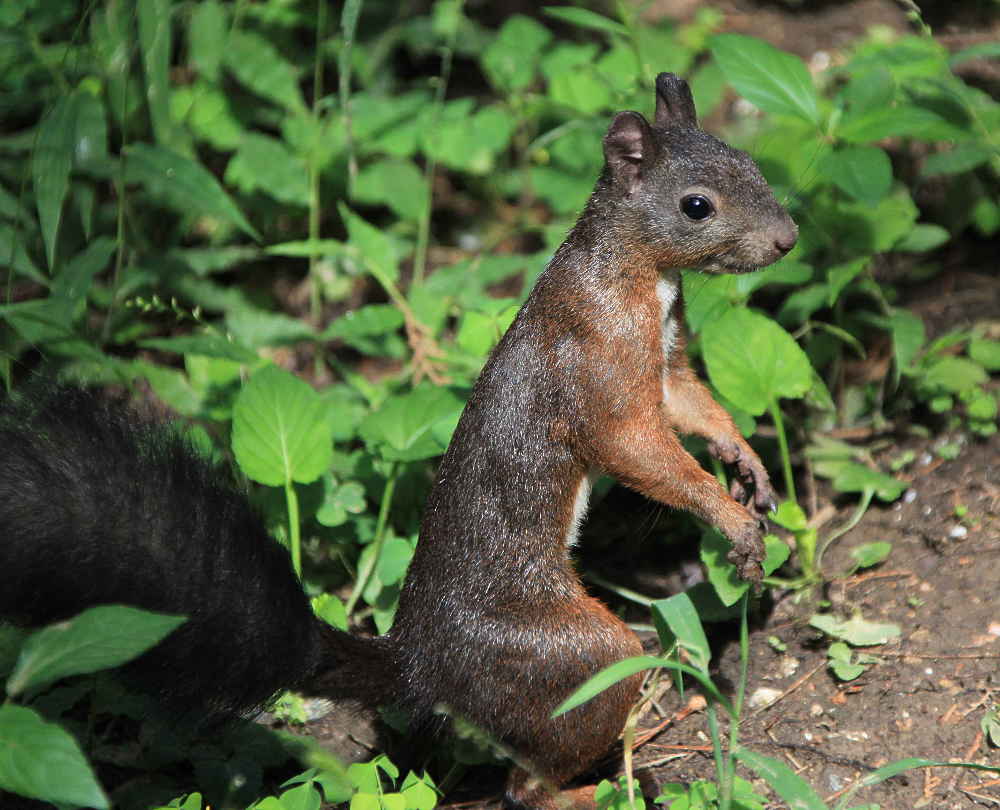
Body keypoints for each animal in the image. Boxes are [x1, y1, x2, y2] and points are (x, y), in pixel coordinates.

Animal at [1, 76, 796, 808]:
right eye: (697, 205)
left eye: (752, 163)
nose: (787, 239)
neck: (640, 275)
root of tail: (420, 666)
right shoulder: (597, 365)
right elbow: (637, 449)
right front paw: (730, 520)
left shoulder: (663, 362)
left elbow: (694, 405)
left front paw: (747, 465)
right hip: (568, 656)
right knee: (528, 779)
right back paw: (595, 787)